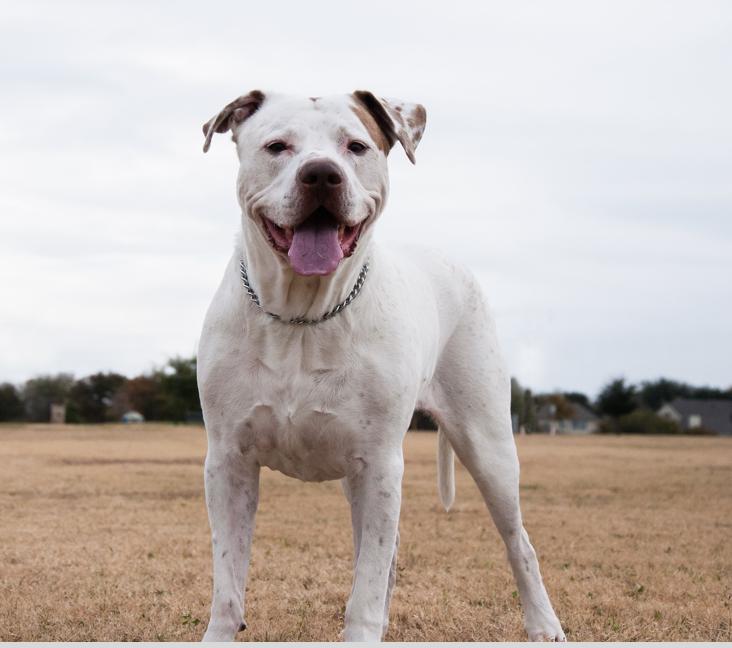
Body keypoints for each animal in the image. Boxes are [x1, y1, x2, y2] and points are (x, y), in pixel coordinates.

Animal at [196, 91, 568, 644]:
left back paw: (544, 625)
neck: (303, 315)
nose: (322, 174)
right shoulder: (228, 461)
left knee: (517, 542)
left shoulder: (380, 464)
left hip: (489, 447)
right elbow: (228, 576)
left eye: (356, 146)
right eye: (277, 146)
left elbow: (367, 584)